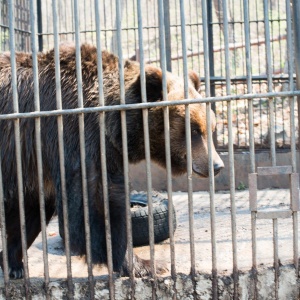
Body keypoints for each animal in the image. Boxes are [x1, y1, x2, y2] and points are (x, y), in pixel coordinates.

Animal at [0, 44, 224, 278]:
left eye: (210, 128)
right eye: (194, 130)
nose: (217, 166)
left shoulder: (35, 164)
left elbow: (30, 209)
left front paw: (13, 263)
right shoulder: (76, 136)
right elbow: (94, 202)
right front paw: (144, 264)